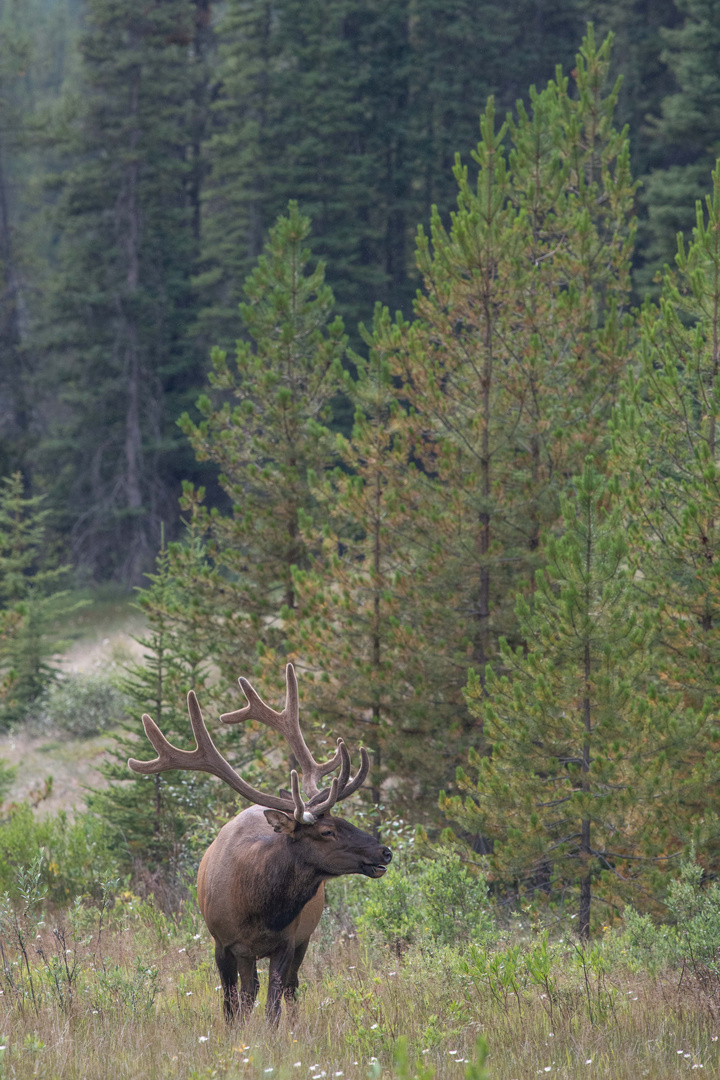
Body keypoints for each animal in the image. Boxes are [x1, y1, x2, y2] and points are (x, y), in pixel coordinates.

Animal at [126, 656, 390, 1019]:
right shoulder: (223, 943)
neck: (257, 909)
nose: (384, 851)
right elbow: (231, 1004)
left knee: (290, 988)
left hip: (304, 939)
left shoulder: (287, 942)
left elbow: (272, 1007)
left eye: (345, 819)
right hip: (248, 952)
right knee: (248, 991)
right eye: (327, 831)